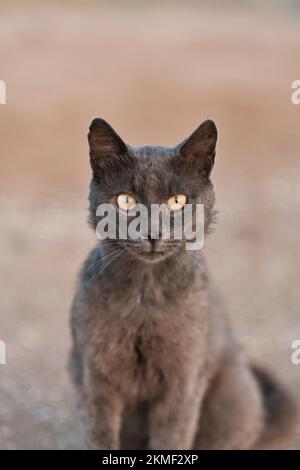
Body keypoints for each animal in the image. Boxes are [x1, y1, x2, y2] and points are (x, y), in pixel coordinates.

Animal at [69, 117, 296, 448]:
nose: (152, 232)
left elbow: (171, 436)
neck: (145, 295)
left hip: (231, 399)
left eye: (177, 201)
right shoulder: (94, 375)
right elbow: (100, 435)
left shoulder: (184, 381)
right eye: (126, 201)